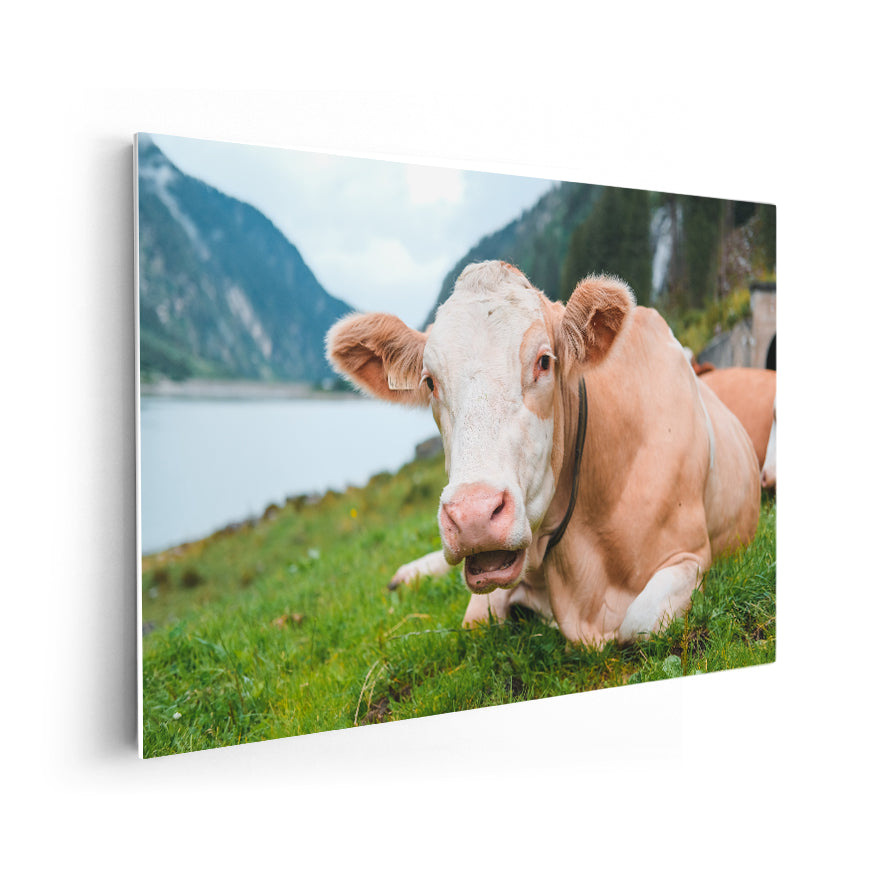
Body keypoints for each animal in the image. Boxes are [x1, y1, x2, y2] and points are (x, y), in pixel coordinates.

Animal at [326, 261, 761, 646]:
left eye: (544, 362)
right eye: (430, 381)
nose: (473, 516)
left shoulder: (691, 555)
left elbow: (639, 622)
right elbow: (475, 618)